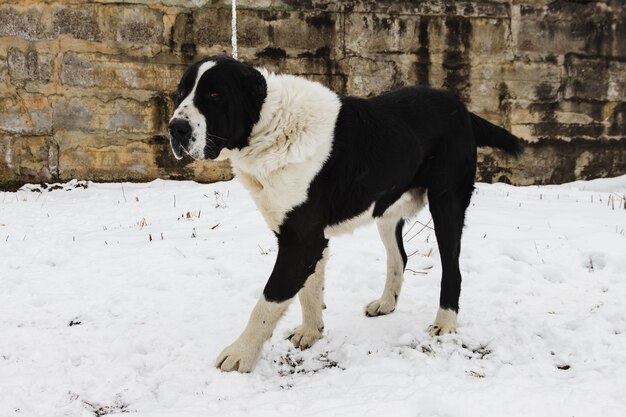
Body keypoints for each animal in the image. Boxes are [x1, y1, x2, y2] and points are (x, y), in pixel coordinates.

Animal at [167, 55, 520, 370]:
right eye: (180, 93)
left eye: (215, 94)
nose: (176, 129)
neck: (269, 127)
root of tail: (461, 107)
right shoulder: (309, 238)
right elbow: (309, 290)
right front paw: (311, 332)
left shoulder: (301, 242)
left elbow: (267, 303)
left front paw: (240, 354)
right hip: (387, 210)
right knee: (399, 257)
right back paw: (386, 303)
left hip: (447, 202)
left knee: (452, 268)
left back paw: (445, 323)